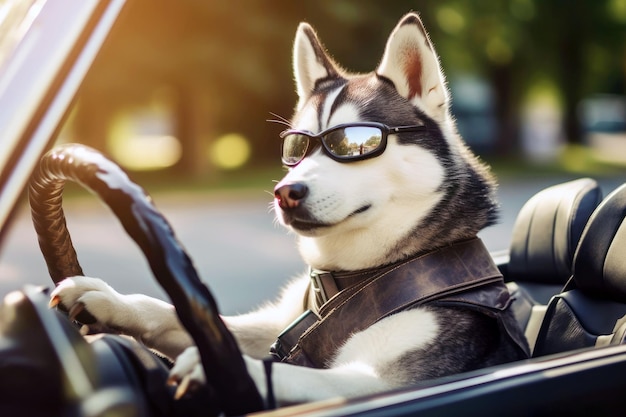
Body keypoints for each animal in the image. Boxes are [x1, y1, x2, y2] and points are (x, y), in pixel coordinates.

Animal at [50, 13, 528, 406]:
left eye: (355, 144)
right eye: (296, 148)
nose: (285, 192)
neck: (354, 279)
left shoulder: (381, 381)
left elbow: (302, 375)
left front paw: (223, 369)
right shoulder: (278, 327)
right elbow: (185, 317)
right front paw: (113, 301)